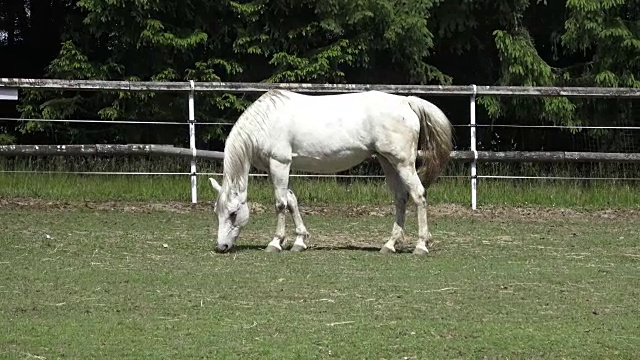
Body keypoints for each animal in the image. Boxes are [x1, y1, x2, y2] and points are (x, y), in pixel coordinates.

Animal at [208, 88, 452, 255]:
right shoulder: (277, 168)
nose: (222, 246)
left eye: (233, 213)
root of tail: (406, 102)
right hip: (388, 162)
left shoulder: (280, 163)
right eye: (217, 212)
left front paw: (276, 242)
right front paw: (299, 241)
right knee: (400, 198)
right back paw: (390, 245)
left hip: (403, 163)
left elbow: (280, 204)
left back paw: (421, 245)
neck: (265, 121)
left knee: (418, 195)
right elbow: (292, 201)